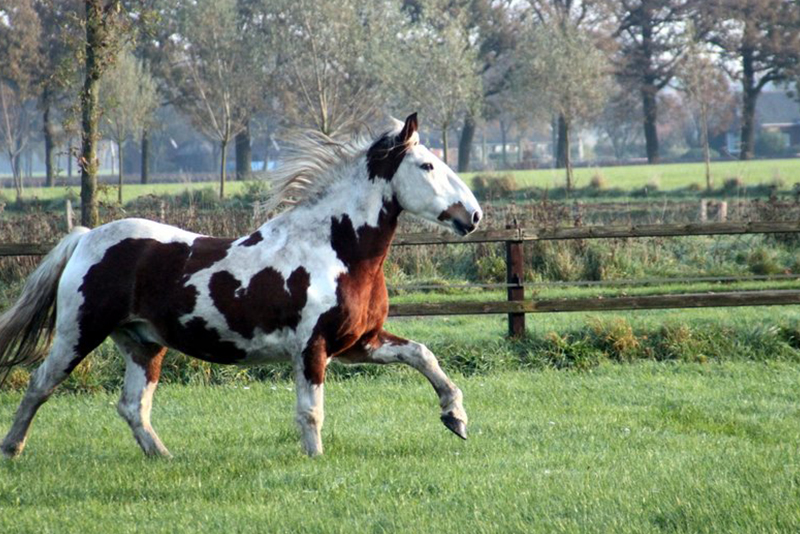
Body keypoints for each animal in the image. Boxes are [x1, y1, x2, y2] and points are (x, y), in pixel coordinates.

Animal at [1, 115, 482, 458]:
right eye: (427, 165)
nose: (473, 215)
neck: (336, 250)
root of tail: (86, 237)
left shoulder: (359, 342)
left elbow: (422, 355)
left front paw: (455, 417)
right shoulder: (312, 347)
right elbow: (310, 412)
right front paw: (316, 460)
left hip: (143, 343)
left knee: (132, 406)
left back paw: (164, 457)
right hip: (79, 333)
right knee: (40, 384)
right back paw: (13, 448)